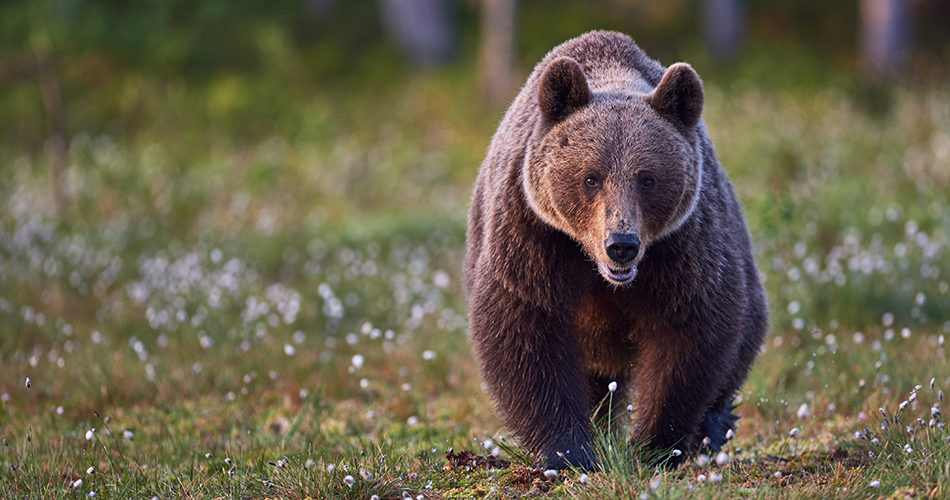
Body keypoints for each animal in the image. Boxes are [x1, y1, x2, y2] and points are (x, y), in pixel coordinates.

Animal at [464, 31, 768, 470]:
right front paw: (569, 451)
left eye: (648, 179)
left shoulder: (682, 247)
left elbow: (688, 335)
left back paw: (713, 427)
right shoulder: (533, 234)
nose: (621, 245)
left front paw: (655, 446)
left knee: (741, 341)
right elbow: (526, 331)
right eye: (591, 177)